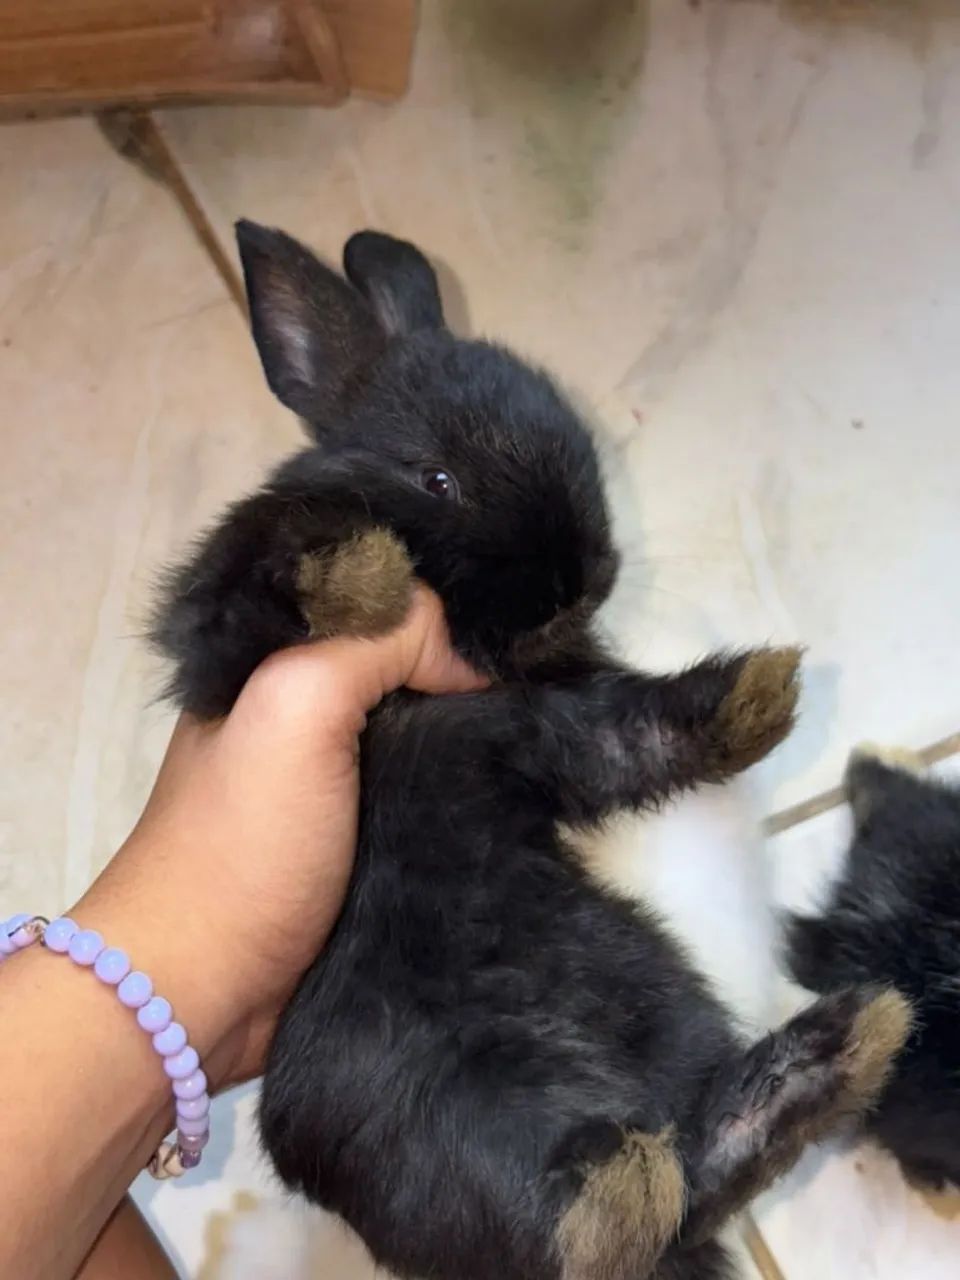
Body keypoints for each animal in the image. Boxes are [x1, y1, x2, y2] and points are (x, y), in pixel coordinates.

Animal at [152, 220, 912, 1280]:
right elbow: (268, 584)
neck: (456, 686)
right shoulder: (231, 656)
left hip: (659, 1013)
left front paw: (761, 693)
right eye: (436, 479)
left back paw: (837, 1049)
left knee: (689, 1173)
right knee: (592, 1222)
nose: (579, 582)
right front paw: (364, 570)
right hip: (437, 1118)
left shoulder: (547, 735)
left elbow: (636, 735)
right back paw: (619, 1184)